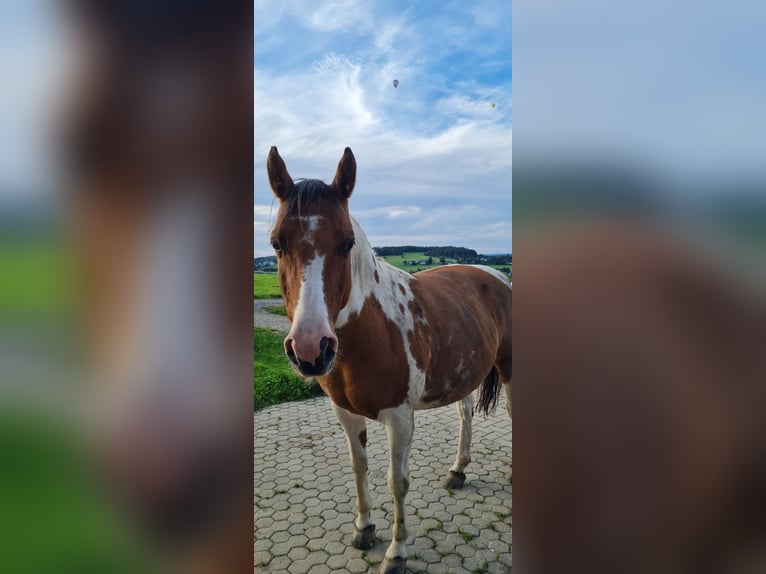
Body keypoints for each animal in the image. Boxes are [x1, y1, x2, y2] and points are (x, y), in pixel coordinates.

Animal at [268, 147, 512, 574]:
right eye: (277, 244)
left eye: (347, 243)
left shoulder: (399, 419)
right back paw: (458, 469)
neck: (371, 330)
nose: (311, 349)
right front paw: (364, 528)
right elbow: (360, 467)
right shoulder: (345, 413)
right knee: (465, 415)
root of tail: (496, 275)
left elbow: (397, 482)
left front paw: (396, 552)